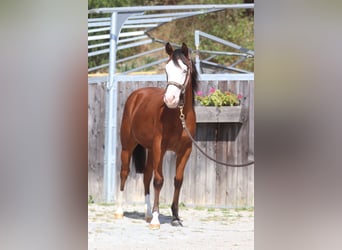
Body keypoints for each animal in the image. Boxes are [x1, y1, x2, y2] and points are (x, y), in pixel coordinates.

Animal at [114, 42, 198, 229]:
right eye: (167, 69)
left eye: (185, 70)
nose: (170, 99)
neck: (178, 116)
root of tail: (137, 95)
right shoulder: (161, 147)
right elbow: (159, 181)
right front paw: (156, 219)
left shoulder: (185, 150)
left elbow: (178, 180)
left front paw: (175, 217)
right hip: (128, 147)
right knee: (124, 173)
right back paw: (119, 211)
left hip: (151, 151)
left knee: (146, 176)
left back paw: (146, 213)